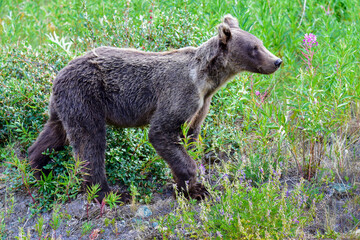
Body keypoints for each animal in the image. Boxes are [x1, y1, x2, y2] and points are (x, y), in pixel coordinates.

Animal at [28, 14, 282, 201]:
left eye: (261, 43)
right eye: (254, 47)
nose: (277, 61)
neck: (207, 79)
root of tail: (59, 72)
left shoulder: (202, 104)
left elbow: (190, 135)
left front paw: (191, 182)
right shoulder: (180, 93)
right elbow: (162, 132)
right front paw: (195, 186)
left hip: (64, 104)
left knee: (54, 134)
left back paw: (37, 170)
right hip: (86, 97)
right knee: (90, 142)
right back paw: (108, 193)